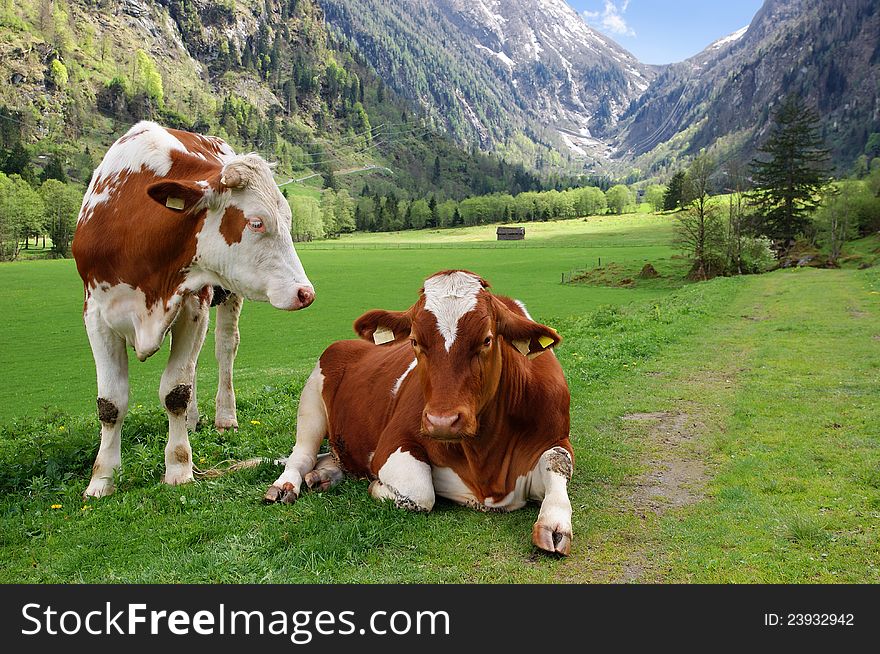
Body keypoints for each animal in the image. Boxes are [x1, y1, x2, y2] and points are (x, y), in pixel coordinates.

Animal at [72, 121, 314, 498]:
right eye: (256, 222)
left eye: (287, 219)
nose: (305, 292)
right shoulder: (96, 314)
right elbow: (110, 404)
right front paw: (102, 480)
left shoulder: (193, 304)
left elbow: (175, 391)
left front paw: (178, 468)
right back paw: (192, 420)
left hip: (227, 297)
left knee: (224, 349)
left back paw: (223, 417)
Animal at [264, 270, 576, 552]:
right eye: (414, 341)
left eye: (487, 339)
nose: (442, 422)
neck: (487, 466)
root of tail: (345, 343)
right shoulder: (392, 442)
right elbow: (420, 493)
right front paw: (377, 486)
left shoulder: (555, 437)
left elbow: (558, 463)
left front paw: (554, 522)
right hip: (311, 400)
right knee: (302, 455)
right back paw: (286, 486)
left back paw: (324, 476)